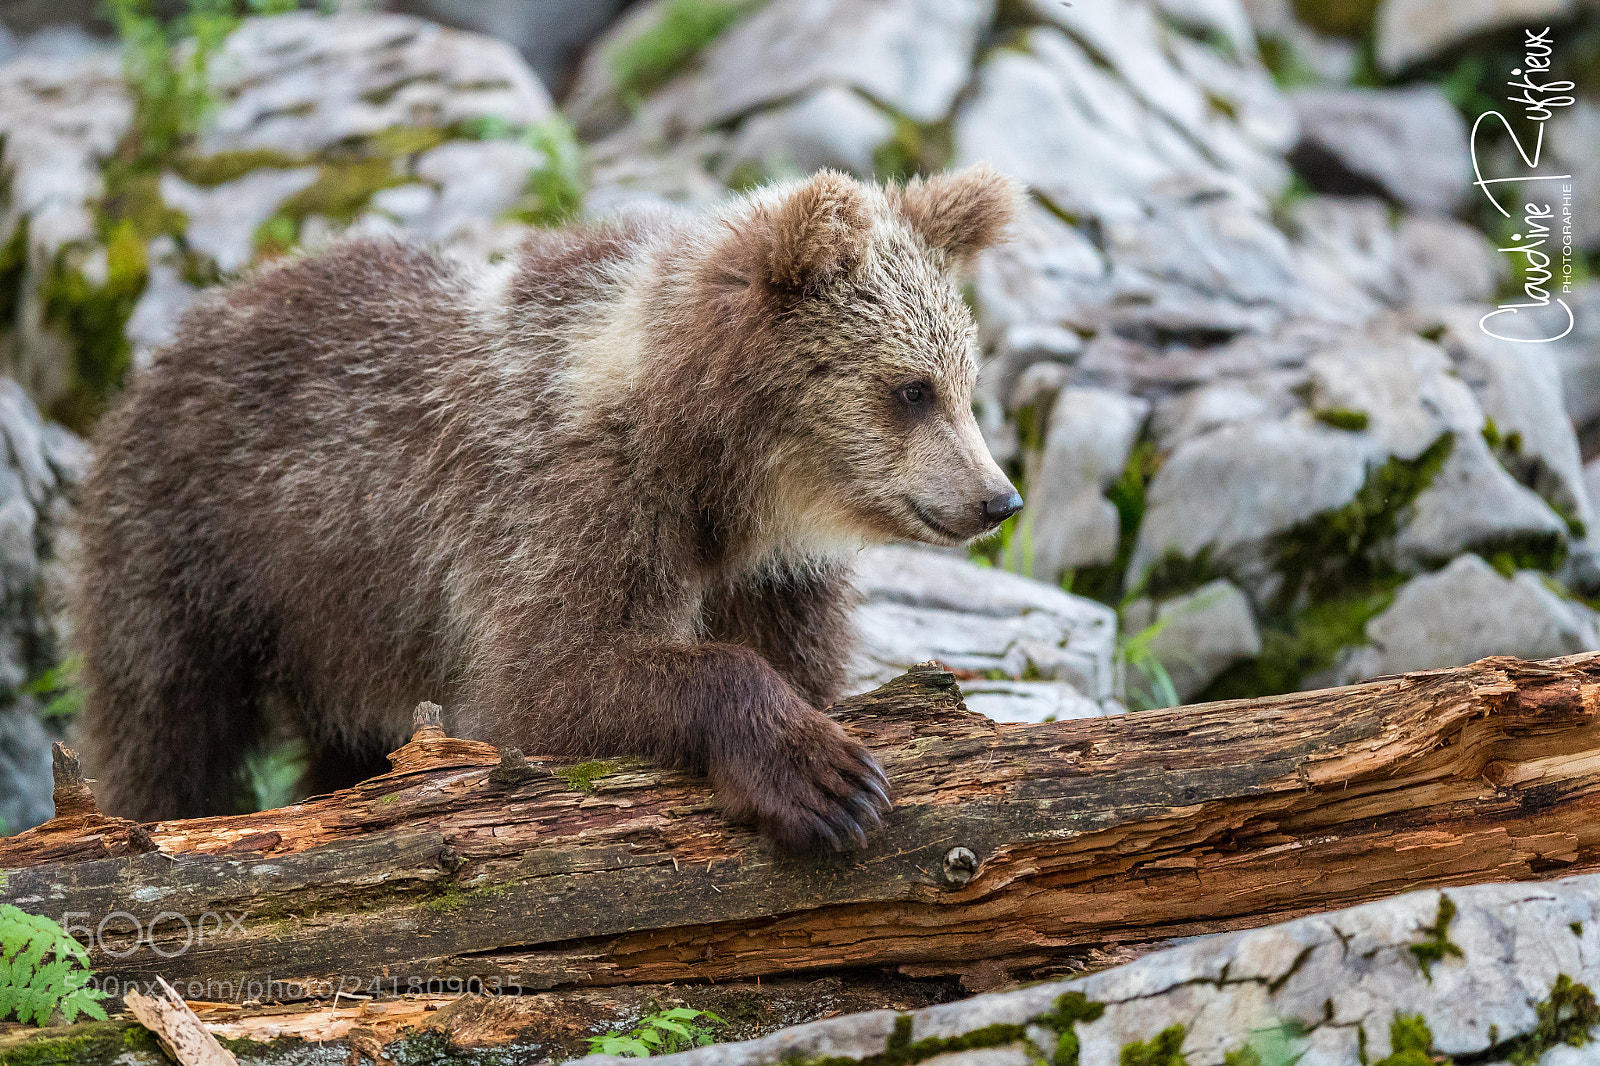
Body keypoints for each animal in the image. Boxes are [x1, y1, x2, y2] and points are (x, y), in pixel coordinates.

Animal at [73, 165, 1025, 852]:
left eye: (968, 381)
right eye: (910, 389)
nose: (998, 498)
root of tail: (190, 325)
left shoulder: (771, 575)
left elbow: (800, 663)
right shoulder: (559, 499)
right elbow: (543, 687)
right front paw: (828, 781)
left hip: (335, 618)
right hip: (197, 540)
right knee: (166, 715)